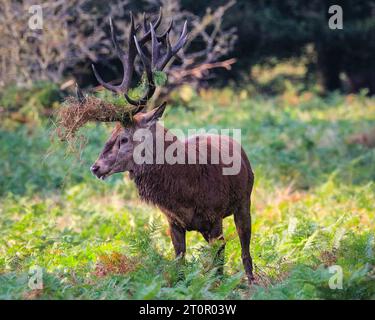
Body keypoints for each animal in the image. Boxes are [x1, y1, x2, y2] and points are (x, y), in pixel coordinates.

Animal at [85, 11, 256, 284]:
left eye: (123, 138)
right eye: (110, 134)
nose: (95, 167)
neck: (184, 191)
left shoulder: (215, 216)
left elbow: (219, 264)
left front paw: (219, 286)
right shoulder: (172, 222)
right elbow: (179, 264)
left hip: (244, 200)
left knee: (245, 248)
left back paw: (251, 281)